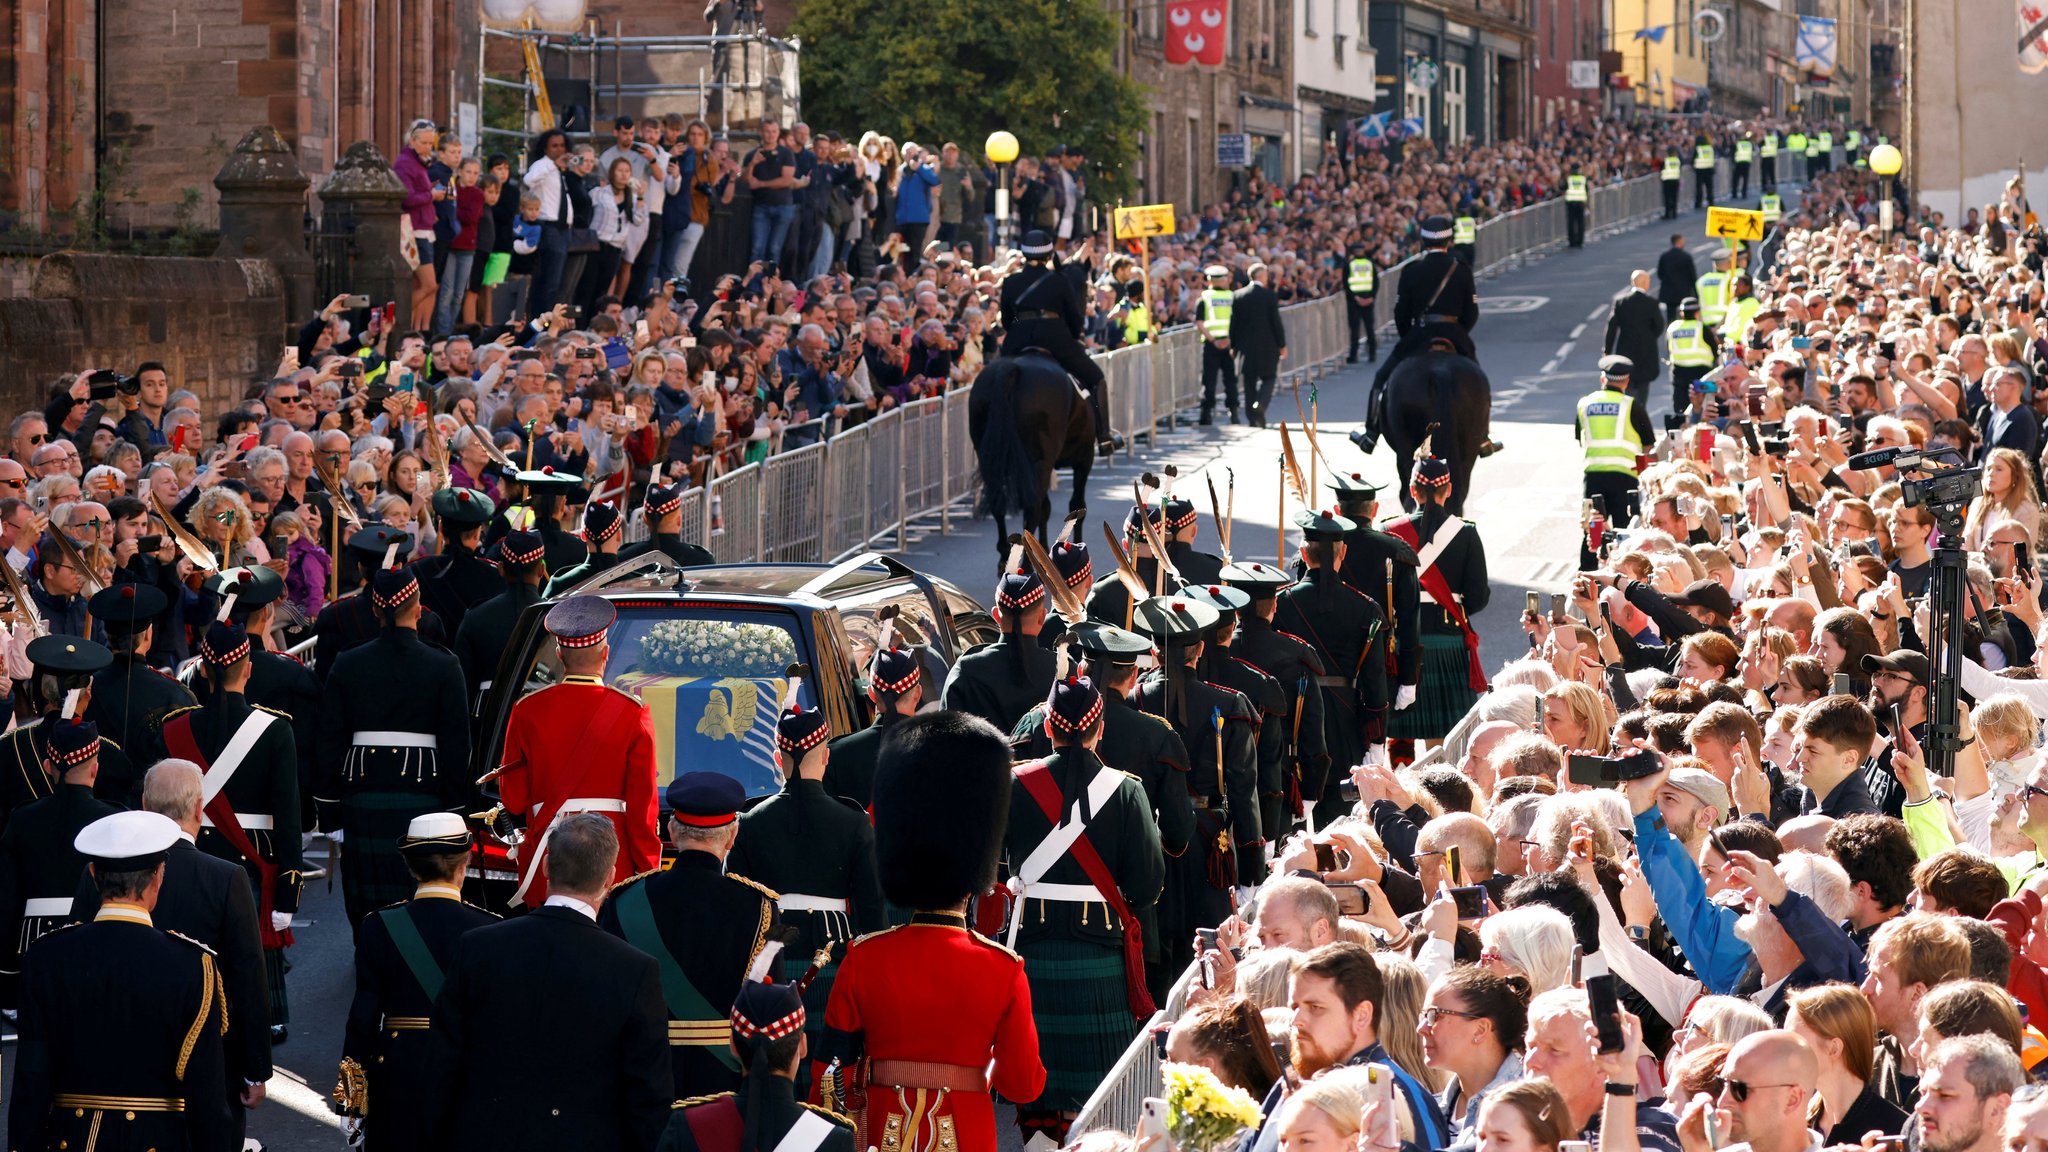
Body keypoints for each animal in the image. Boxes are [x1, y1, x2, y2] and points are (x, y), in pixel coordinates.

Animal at [970, 352, 1097, 553]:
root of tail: (1011, 369)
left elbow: (1047, 508)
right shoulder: (1084, 459)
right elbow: (1077, 505)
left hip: (992, 462)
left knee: (1000, 504)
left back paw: (1006, 553)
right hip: (1040, 462)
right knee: (1032, 510)